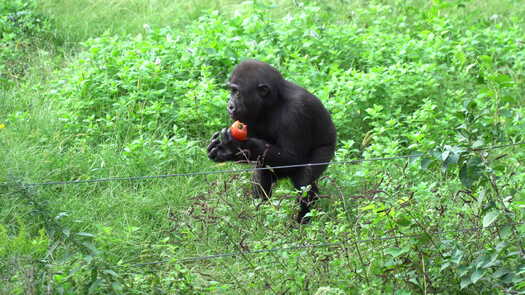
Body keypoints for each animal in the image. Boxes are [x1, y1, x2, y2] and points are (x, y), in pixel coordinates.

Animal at [206, 59, 336, 223]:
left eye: (236, 92)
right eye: (231, 91)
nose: (229, 105)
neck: (273, 102)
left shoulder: (296, 111)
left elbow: (293, 157)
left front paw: (233, 146)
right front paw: (226, 151)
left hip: (327, 151)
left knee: (304, 180)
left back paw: (301, 221)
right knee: (262, 169)